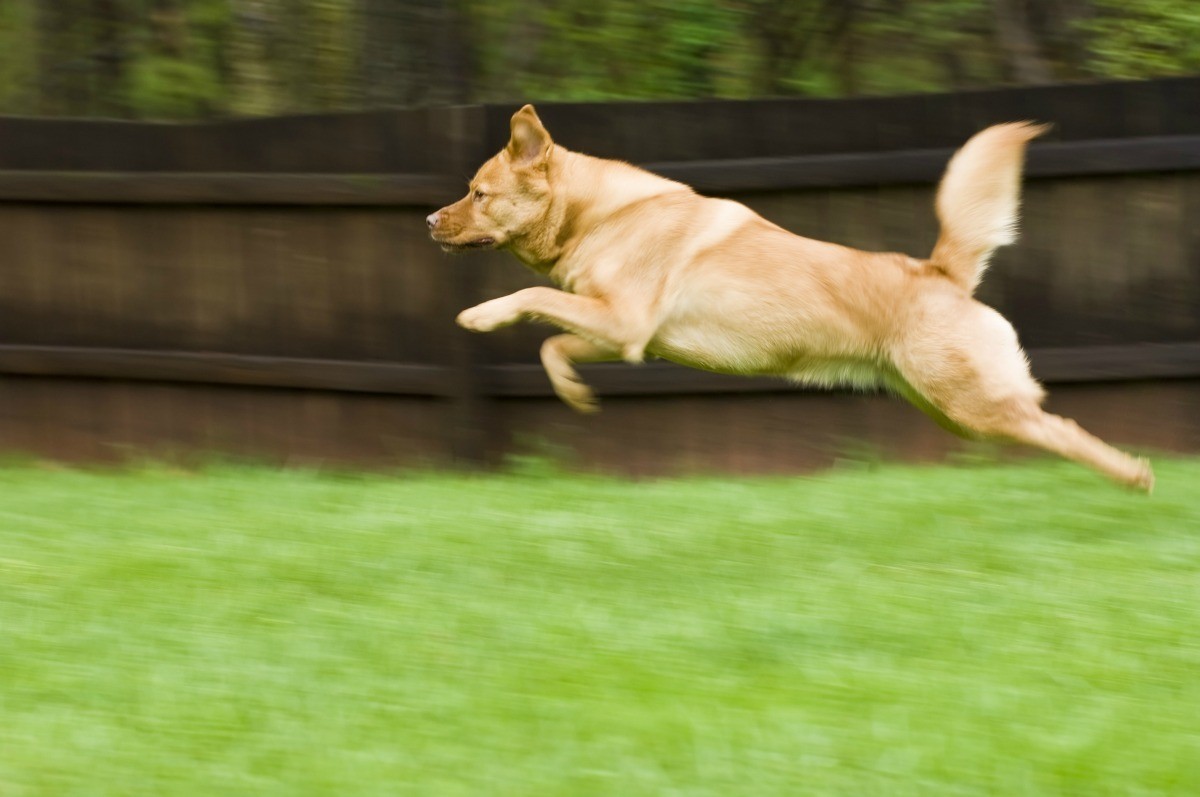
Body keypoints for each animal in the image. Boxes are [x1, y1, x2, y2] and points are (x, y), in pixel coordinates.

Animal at [429, 104, 1152, 492]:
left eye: (478, 192)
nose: (430, 221)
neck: (600, 216)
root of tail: (940, 271)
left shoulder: (622, 319)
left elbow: (528, 298)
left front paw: (481, 315)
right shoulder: (627, 337)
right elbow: (555, 344)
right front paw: (576, 394)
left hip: (973, 404)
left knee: (1060, 428)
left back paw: (1134, 474)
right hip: (947, 407)